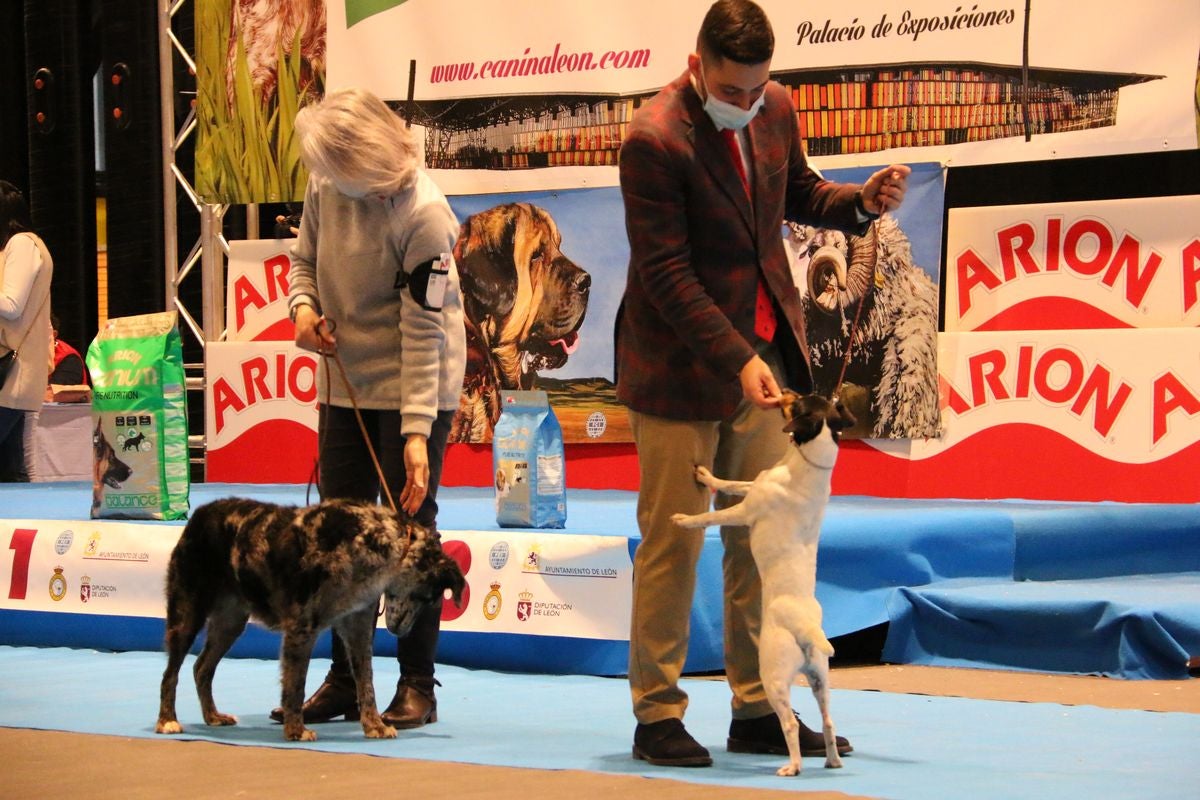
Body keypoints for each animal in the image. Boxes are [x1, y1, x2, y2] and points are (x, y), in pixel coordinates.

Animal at [154, 496, 463, 743]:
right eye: (426, 597)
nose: (403, 631)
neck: (371, 540)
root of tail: (199, 514)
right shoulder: (302, 626)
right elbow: (295, 685)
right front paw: (296, 730)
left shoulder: (358, 624)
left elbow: (366, 682)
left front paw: (375, 725)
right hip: (187, 611)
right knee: (171, 673)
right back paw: (167, 721)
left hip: (231, 622)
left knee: (201, 668)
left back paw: (213, 716)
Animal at [676, 391, 854, 777]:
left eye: (801, 401)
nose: (785, 391)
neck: (807, 463)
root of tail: (804, 627)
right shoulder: (753, 485)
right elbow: (732, 483)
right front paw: (707, 474)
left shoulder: (745, 512)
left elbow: (712, 516)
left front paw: (683, 519)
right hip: (821, 677)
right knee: (829, 720)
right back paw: (832, 760)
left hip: (773, 675)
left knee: (788, 723)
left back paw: (793, 766)